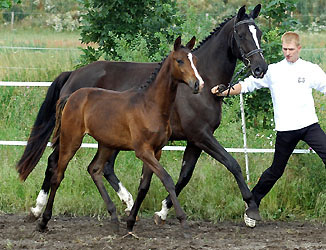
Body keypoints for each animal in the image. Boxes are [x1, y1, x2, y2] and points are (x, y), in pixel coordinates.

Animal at [17, 4, 268, 225]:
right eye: (241, 34)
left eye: (260, 33)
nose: (260, 68)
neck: (203, 83)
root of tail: (73, 75)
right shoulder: (201, 135)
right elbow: (232, 164)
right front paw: (251, 208)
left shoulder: (194, 140)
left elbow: (184, 176)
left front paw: (162, 212)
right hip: (74, 134)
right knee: (55, 162)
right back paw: (37, 210)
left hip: (109, 138)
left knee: (103, 168)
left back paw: (128, 205)